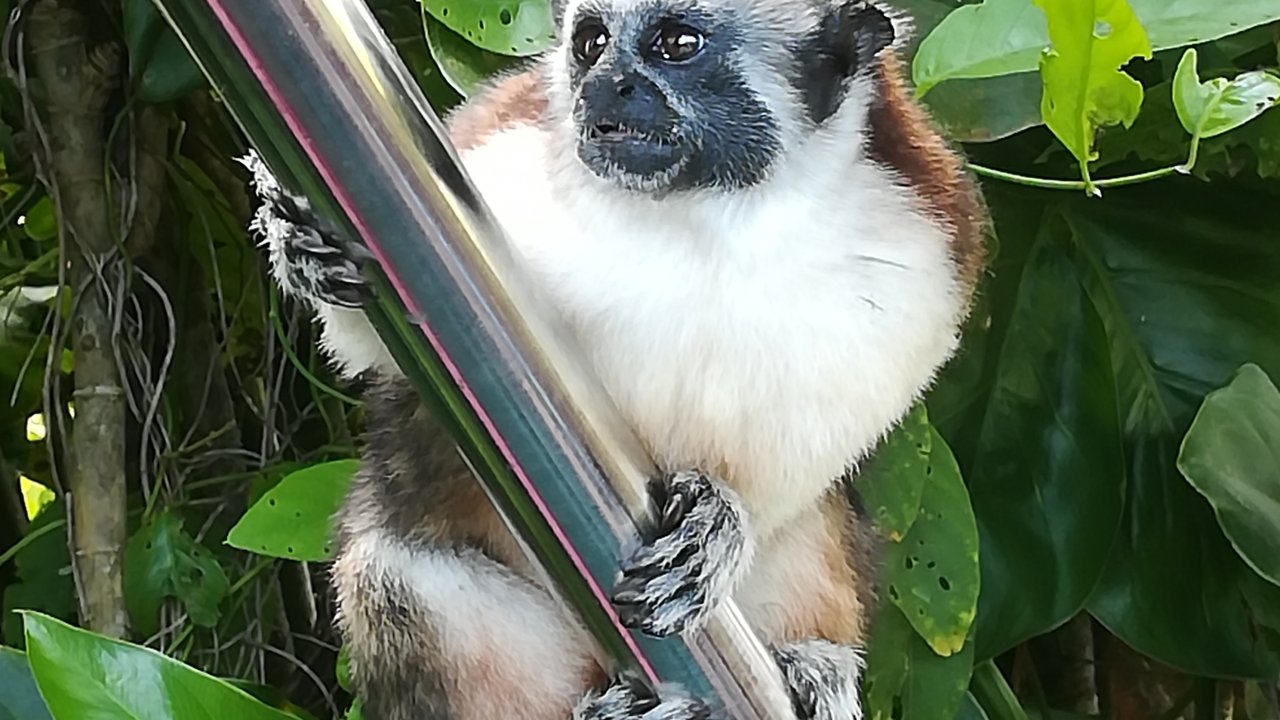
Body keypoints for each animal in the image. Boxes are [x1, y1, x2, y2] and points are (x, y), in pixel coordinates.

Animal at [241, 0, 987, 718]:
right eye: (591, 43)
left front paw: (723, 522)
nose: (602, 86)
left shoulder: (919, 240)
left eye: (677, 44)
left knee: (818, 520)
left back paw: (812, 666)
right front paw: (297, 242)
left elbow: (829, 433)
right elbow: (378, 347)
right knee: (390, 573)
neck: (711, 208)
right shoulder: (495, 150)